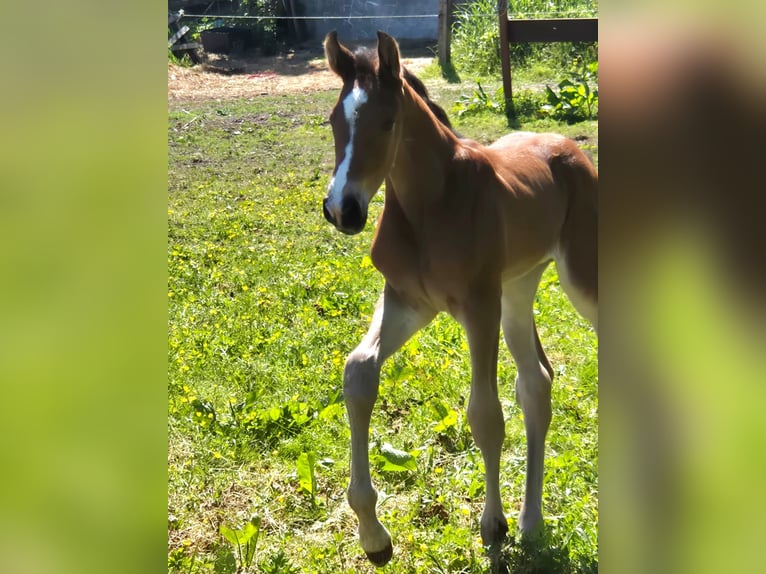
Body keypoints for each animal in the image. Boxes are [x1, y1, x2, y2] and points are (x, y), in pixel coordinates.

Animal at [321, 31, 598, 566]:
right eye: (334, 121)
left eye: (387, 122)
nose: (343, 209)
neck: (429, 204)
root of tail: (566, 145)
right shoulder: (408, 300)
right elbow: (359, 372)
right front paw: (374, 537)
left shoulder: (478, 304)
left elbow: (485, 414)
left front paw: (493, 527)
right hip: (519, 289)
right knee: (537, 381)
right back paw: (533, 522)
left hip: (579, 277)